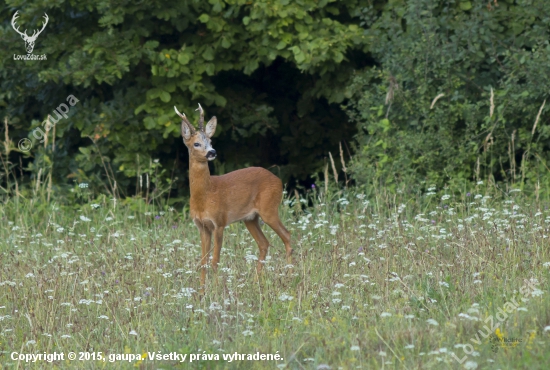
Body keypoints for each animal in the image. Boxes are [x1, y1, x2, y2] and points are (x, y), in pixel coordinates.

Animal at [176, 104, 294, 290]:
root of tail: (278, 180)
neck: (205, 197)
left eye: (211, 142)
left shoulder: (219, 222)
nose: (212, 152)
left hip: (269, 208)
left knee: (287, 236)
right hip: (250, 218)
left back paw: (290, 277)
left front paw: (216, 290)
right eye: (196, 143)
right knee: (264, 243)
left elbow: (215, 261)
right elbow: (203, 262)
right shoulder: (202, 226)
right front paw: (201, 291)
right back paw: (255, 281)